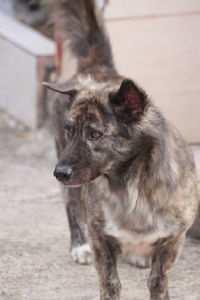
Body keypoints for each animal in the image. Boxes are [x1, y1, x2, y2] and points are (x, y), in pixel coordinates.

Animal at [43, 0, 198, 300]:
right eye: (69, 130)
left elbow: (158, 281)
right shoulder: (101, 239)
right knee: (71, 206)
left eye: (95, 134)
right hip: (69, 179)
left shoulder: (174, 239)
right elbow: (110, 282)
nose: (59, 173)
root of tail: (97, 68)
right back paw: (78, 246)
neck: (130, 186)